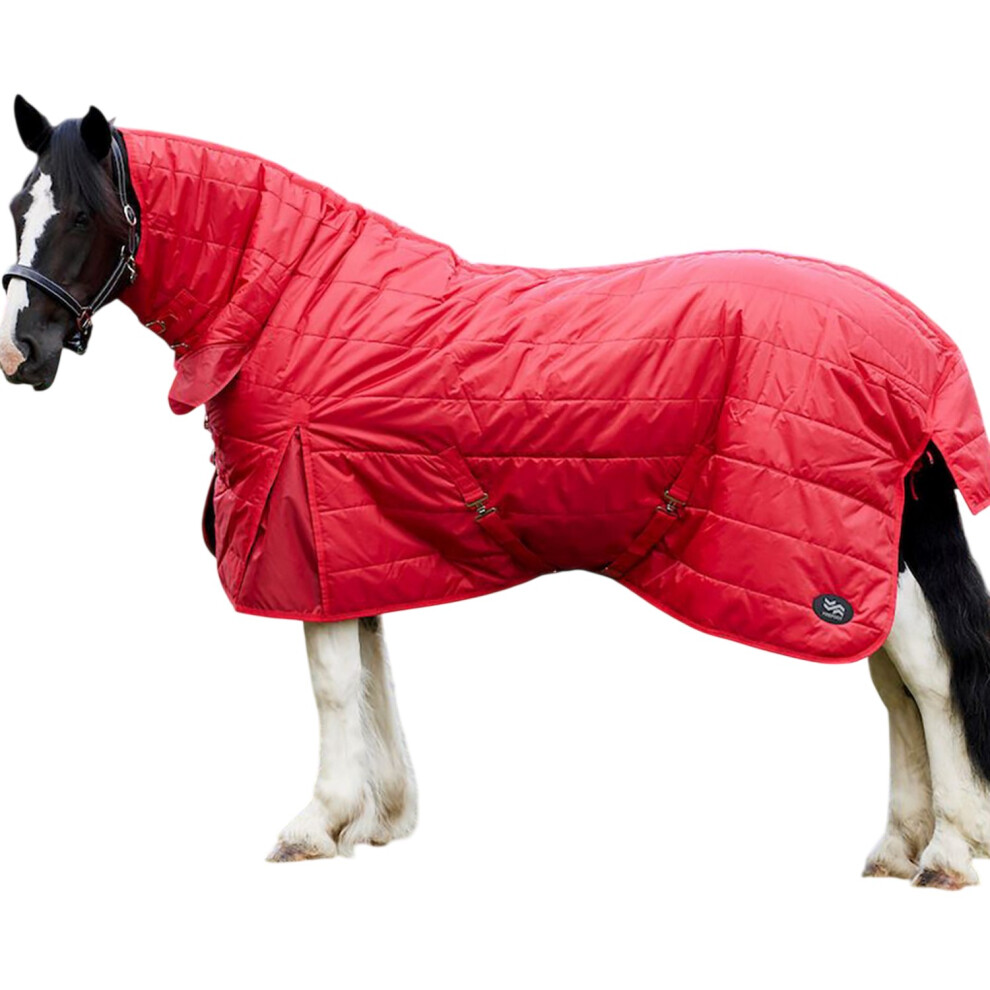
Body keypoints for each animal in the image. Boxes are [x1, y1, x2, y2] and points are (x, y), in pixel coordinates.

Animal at [4, 96, 990, 888]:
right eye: (18, 207)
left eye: (82, 213)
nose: (22, 354)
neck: (294, 301)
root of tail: (920, 344)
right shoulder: (360, 541)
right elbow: (373, 672)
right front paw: (380, 819)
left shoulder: (307, 525)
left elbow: (333, 683)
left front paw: (319, 823)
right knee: (895, 688)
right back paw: (899, 846)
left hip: (850, 565)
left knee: (931, 678)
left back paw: (946, 852)